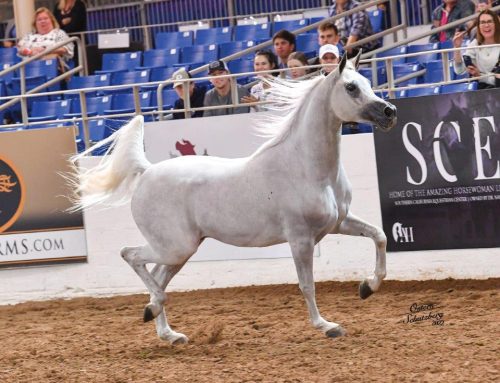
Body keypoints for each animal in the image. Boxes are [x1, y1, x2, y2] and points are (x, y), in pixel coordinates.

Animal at [71, 53, 398, 344]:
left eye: (368, 83)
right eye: (351, 87)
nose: (390, 112)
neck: (307, 167)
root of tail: (147, 170)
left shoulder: (338, 223)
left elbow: (379, 236)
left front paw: (367, 287)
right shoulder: (301, 238)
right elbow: (307, 285)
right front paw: (327, 326)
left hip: (178, 250)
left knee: (156, 275)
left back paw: (168, 332)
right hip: (175, 247)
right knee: (131, 256)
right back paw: (154, 310)